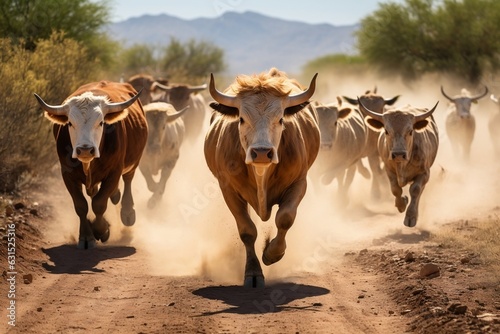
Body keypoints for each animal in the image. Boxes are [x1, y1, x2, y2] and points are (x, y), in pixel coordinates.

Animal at [34, 80, 147, 248]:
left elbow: (99, 203)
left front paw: (101, 230)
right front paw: (86, 236)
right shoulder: (67, 175)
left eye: (101, 123)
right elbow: (81, 205)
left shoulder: (114, 173)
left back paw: (127, 212)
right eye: (70, 123)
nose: (85, 150)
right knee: (97, 193)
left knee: (127, 181)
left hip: (133, 163)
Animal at [204, 68, 318, 288]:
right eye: (241, 119)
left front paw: (272, 253)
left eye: (280, 119)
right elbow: (247, 231)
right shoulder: (228, 190)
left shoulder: (299, 182)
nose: (262, 153)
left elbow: (285, 218)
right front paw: (253, 272)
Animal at [360, 100, 438, 228]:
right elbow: (395, 189)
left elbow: (415, 190)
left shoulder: (425, 173)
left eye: (410, 131)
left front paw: (411, 217)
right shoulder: (388, 170)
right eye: (386, 131)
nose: (398, 154)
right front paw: (402, 204)